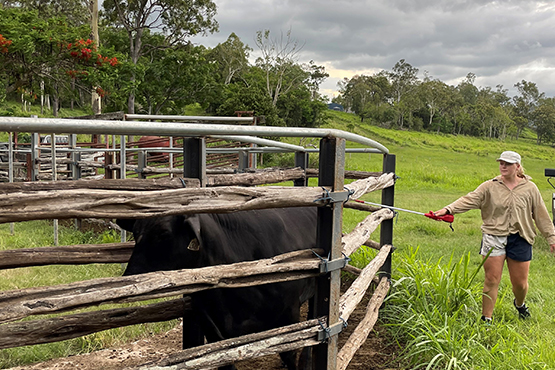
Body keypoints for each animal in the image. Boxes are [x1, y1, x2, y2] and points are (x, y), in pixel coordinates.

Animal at [117, 207, 318, 370]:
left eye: (164, 234)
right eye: (136, 233)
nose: (129, 276)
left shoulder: (289, 311)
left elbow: (290, 351)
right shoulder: (209, 321)